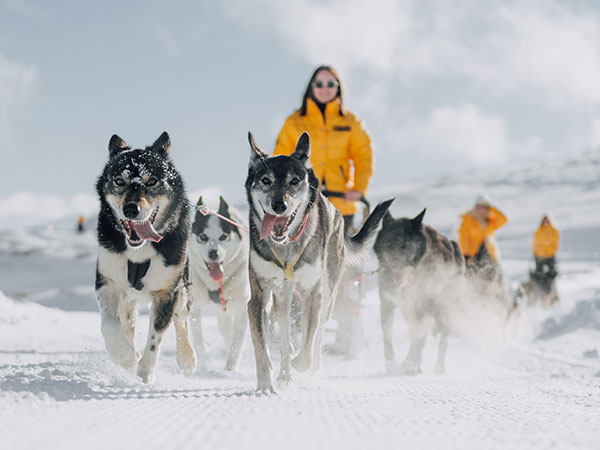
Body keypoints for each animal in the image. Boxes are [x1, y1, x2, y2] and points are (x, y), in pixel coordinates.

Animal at [94, 131, 195, 384]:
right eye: (119, 181)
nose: (131, 209)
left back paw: (187, 358)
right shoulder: (107, 282)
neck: (139, 252)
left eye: (151, 182)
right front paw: (124, 355)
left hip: (182, 286)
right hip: (127, 298)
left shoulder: (167, 291)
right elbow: (108, 324)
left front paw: (146, 370)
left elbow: (156, 335)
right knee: (126, 322)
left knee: (181, 320)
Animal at [190, 195, 251, 370]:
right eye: (203, 237)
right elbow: (198, 338)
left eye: (223, 236)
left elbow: (236, 345)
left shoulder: (242, 309)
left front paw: (229, 370)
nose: (213, 253)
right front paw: (203, 363)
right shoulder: (194, 305)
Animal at [244, 132, 394, 392]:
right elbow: (263, 346)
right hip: (283, 298)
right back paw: (285, 372)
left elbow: (308, 341)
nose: (279, 205)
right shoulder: (258, 296)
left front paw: (301, 364)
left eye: (294, 181)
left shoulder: (314, 294)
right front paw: (265, 383)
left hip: (329, 294)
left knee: (317, 335)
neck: (287, 247)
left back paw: (308, 368)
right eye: (265, 180)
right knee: (284, 331)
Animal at [372, 209, 466, 374]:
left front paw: (409, 364)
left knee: (441, 340)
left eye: (406, 245)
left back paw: (437, 367)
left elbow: (419, 340)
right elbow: (387, 339)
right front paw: (391, 365)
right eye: (388, 243)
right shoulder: (387, 304)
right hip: (410, 312)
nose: (396, 265)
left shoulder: (426, 307)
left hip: (444, 308)